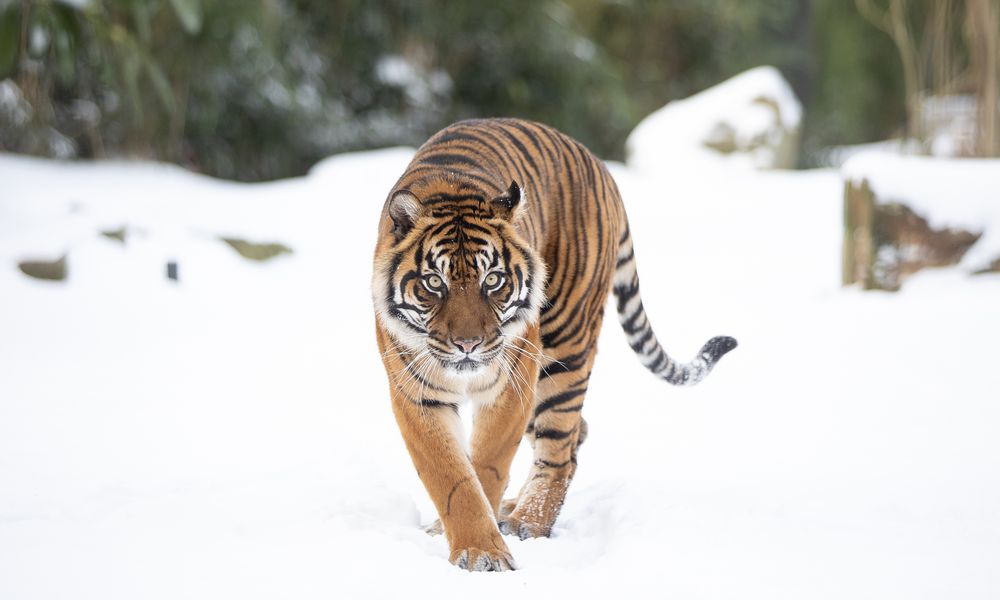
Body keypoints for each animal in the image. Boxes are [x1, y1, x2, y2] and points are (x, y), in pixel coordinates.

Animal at [372, 117, 740, 572]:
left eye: (492, 279)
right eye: (434, 283)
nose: (468, 345)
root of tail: (598, 164)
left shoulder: (511, 382)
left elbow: (487, 466)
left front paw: (485, 550)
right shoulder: (416, 393)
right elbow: (452, 477)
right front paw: (475, 545)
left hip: (563, 348)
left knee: (561, 446)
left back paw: (527, 521)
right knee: (577, 433)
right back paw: (514, 510)